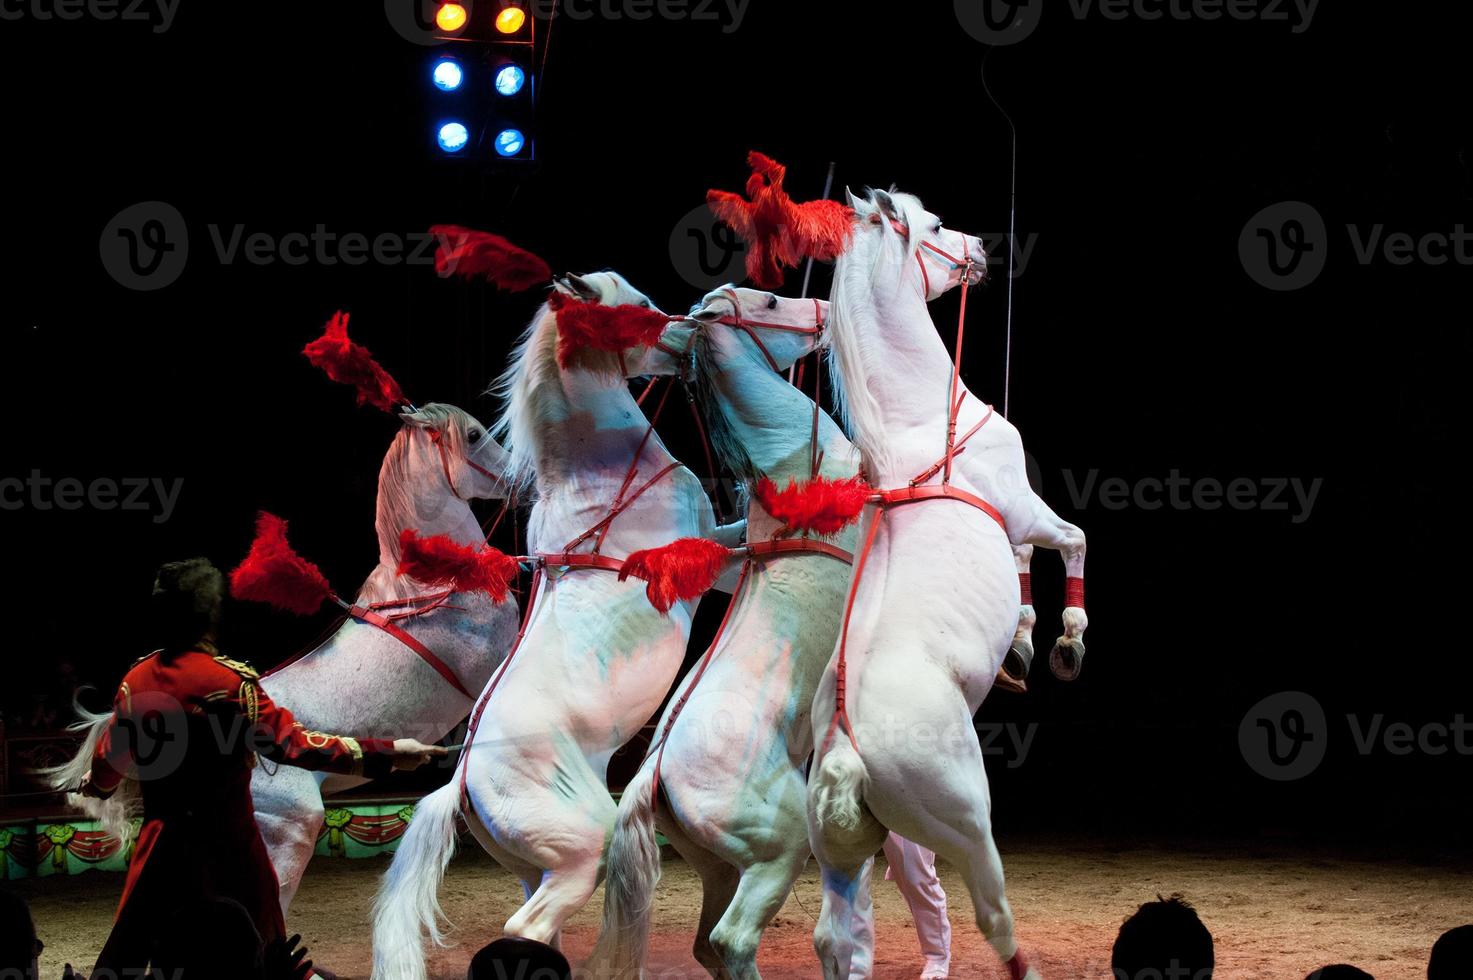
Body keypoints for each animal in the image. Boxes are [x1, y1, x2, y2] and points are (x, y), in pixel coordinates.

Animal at [374, 269, 742, 978]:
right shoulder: (707, 558)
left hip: (532, 865)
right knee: (527, 925)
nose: (689, 329)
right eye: (637, 307)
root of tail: (461, 784)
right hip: (581, 851)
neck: (600, 476)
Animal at [592, 284, 860, 978]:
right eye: (767, 300)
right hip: (777, 850)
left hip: (718, 865)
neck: (796, 463)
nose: (824, 312)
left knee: (707, 944)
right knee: (732, 939)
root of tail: (653, 774)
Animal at [807, 188, 1084, 978]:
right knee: (992, 914)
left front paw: (1023, 646)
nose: (983, 250)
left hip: (841, 861)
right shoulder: (1024, 505)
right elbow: (1070, 542)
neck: (927, 422)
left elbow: (1023, 567)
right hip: (965, 824)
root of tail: (845, 749)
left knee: (837, 938)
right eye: (933, 226)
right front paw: (1067, 642)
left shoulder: (1012, 524)